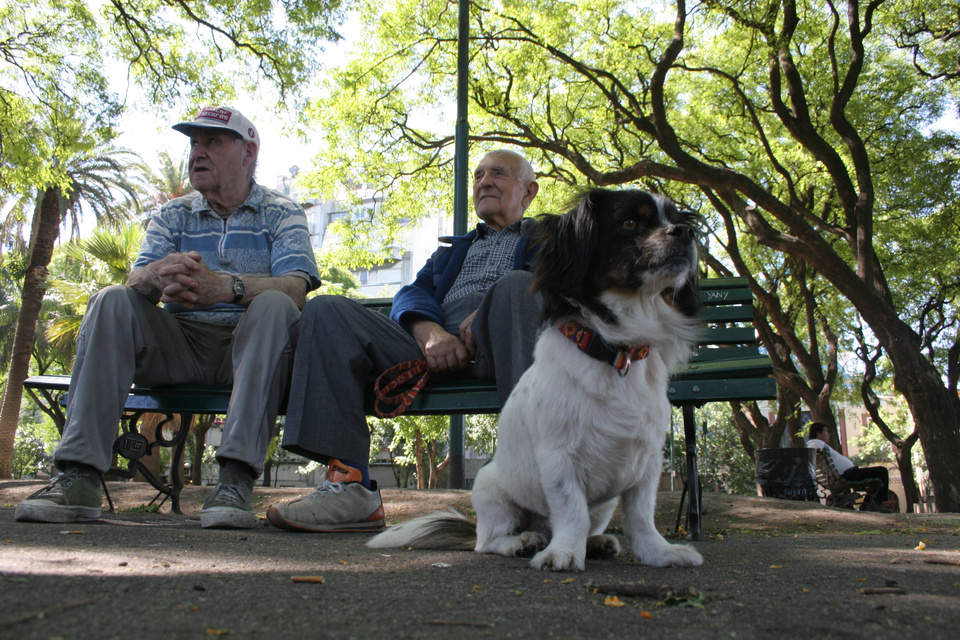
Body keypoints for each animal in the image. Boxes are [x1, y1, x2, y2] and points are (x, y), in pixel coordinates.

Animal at [372, 189, 700, 568]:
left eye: (675, 219)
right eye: (631, 222)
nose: (687, 233)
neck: (617, 352)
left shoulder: (646, 464)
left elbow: (642, 517)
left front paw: (659, 553)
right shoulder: (559, 458)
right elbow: (572, 512)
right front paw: (564, 552)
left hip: (604, 505)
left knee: (589, 524)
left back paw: (596, 542)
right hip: (490, 490)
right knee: (489, 541)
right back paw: (523, 541)